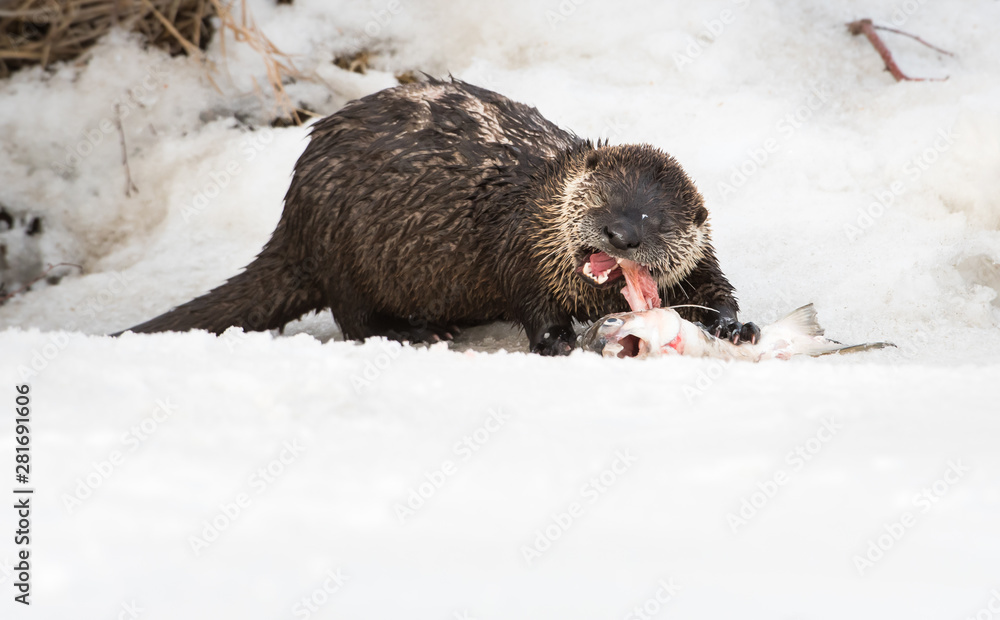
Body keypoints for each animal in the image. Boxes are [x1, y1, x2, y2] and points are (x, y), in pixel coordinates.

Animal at [120, 78, 758, 355]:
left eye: (654, 221)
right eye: (606, 201)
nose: (619, 234)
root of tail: (294, 219)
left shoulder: (699, 256)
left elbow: (713, 287)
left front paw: (738, 326)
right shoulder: (518, 251)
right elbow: (534, 310)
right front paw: (564, 344)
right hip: (345, 250)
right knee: (354, 319)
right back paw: (422, 331)